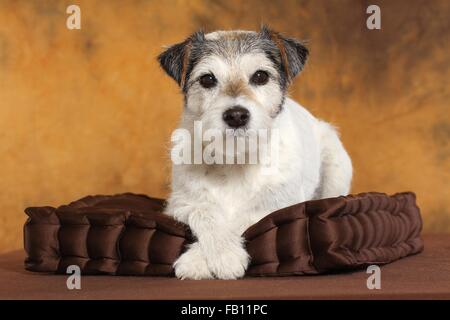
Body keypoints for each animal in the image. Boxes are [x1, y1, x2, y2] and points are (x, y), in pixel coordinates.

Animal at [157, 26, 352, 278]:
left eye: (260, 76)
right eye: (207, 79)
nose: (236, 115)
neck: (236, 160)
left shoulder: (277, 205)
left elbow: (243, 218)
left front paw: (220, 257)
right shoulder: (181, 203)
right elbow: (206, 212)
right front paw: (207, 258)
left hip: (336, 164)